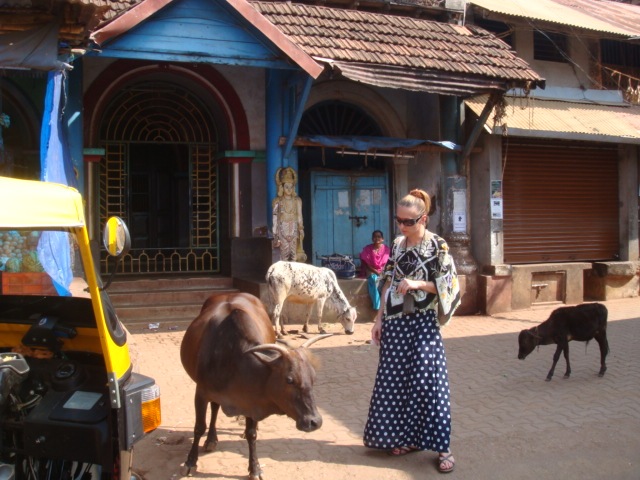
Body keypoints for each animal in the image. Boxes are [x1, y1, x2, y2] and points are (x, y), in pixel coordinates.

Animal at [179, 292, 330, 479]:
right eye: (289, 379)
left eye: (313, 377)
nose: (314, 421)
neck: (233, 359)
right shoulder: (201, 393)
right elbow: (199, 427)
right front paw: (190, 462)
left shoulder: (251, 400)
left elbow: (252, 434)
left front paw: (255, 468)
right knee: (214, 408)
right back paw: (211, 439)